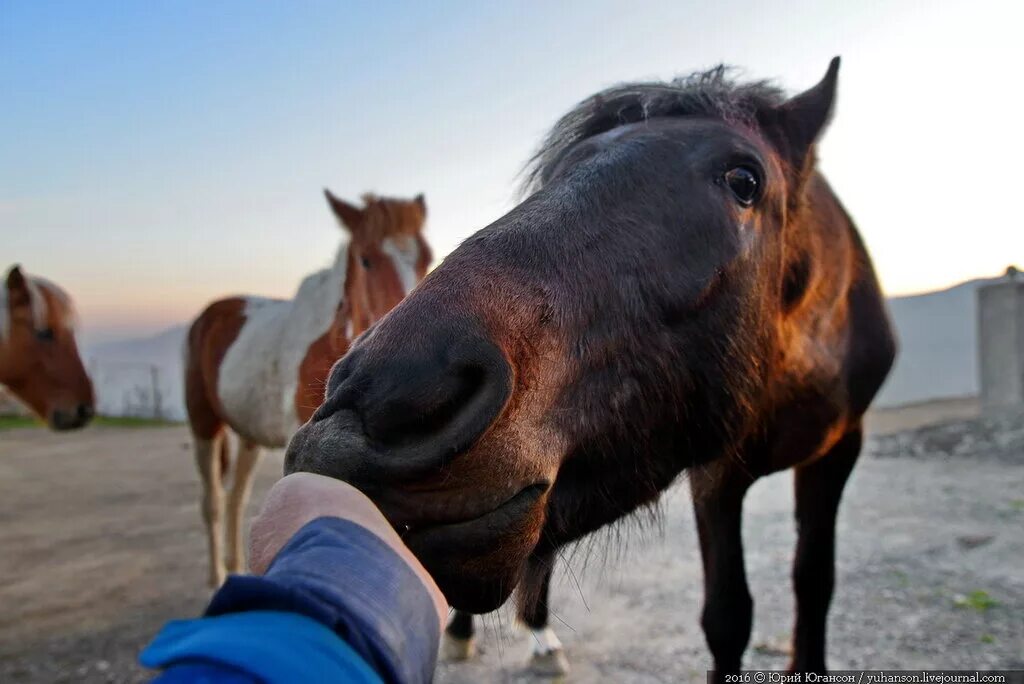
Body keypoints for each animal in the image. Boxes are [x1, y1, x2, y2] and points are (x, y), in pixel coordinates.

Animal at [186, 189, 430, 585]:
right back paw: (216, 578)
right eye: (365, 259)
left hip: (249, 434)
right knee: (215, 503)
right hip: (203, 422)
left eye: (426, 259)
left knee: (236, 497)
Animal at [286, 58, 897, 679]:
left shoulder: (838, 451)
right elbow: (728, 617)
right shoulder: (717, 475)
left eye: (744, 181)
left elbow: (813, 584)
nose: (375, 406)